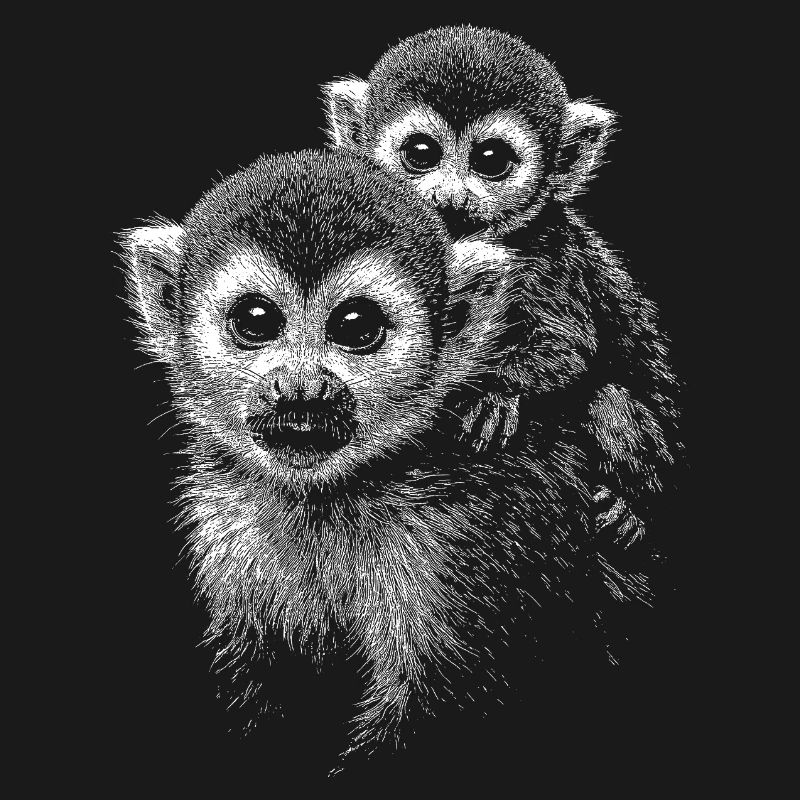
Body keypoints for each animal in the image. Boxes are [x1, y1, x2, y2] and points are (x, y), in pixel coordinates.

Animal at [120, 148, 645, 774]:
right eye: (255, 320)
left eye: (355, 327)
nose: (301, 390)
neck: (331, 499)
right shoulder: (231, 527)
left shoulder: (472, 536)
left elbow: (439, 709)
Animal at [322, 25, 682, 551]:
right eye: (421, 154)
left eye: (491, 161)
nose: (451, 198)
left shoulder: (546, 250)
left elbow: (568, 345)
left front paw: (494, 394)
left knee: (607, 398)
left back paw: (632, 508)